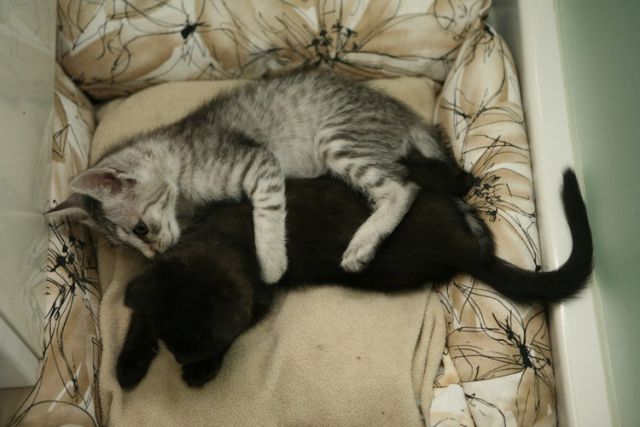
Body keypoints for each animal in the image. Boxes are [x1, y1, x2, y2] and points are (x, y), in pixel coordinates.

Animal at [47, 72, 463, 284]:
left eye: (140, 230)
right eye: (130, 247)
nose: (155, 255)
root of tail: (406, 114)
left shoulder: (259, 163)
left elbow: (266, 214)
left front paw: (272, 264)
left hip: (337, 138)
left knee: (404, 186)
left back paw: (363, 243)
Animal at [117, 164, 592, 388]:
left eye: (205, 340)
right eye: (169, 336)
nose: (181, 360)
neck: (219, 240)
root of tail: (460, 244)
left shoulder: (257, 297)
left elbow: (237, 327)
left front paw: (202, 370)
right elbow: (139, 312)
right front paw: (127, 366)